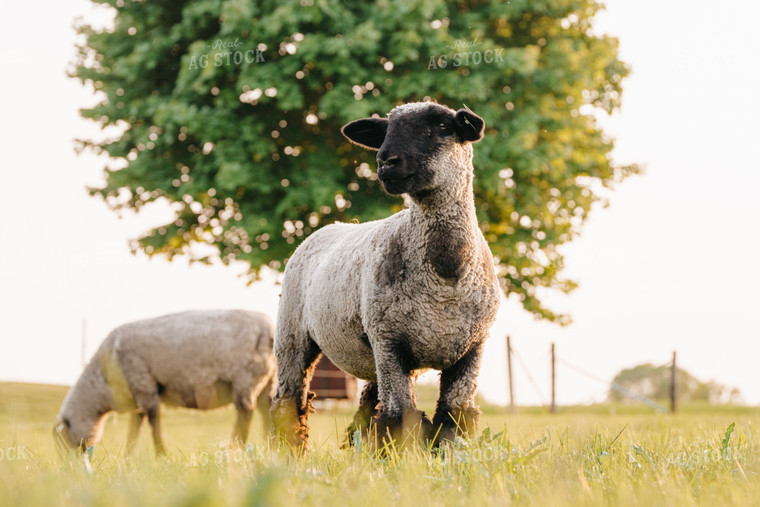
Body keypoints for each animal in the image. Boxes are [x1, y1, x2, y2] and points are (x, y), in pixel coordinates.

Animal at [53, 310, 274, 456]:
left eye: (64, 441)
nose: (71, 467)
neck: (101, 387)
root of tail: (269, 328)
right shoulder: (138, 393)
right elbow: (135, 427)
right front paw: (127, 457)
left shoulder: (144, 384)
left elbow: (153, 422)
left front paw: (161, 455)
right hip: (267, 380)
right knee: (267, 410)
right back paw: (269, 444)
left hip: (246, 377)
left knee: (246, 412)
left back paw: (236, 448)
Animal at [270, 101, 502, 450]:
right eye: (386, 130)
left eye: (443, 127)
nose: (385, 161)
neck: (446, 276)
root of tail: (331, 227)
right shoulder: (389, 340)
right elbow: (399, 419)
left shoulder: (472, 348)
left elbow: (452, 419)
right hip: (293, 335)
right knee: (288, 404)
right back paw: (288, 454)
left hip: (375, 356)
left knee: (366, 409)